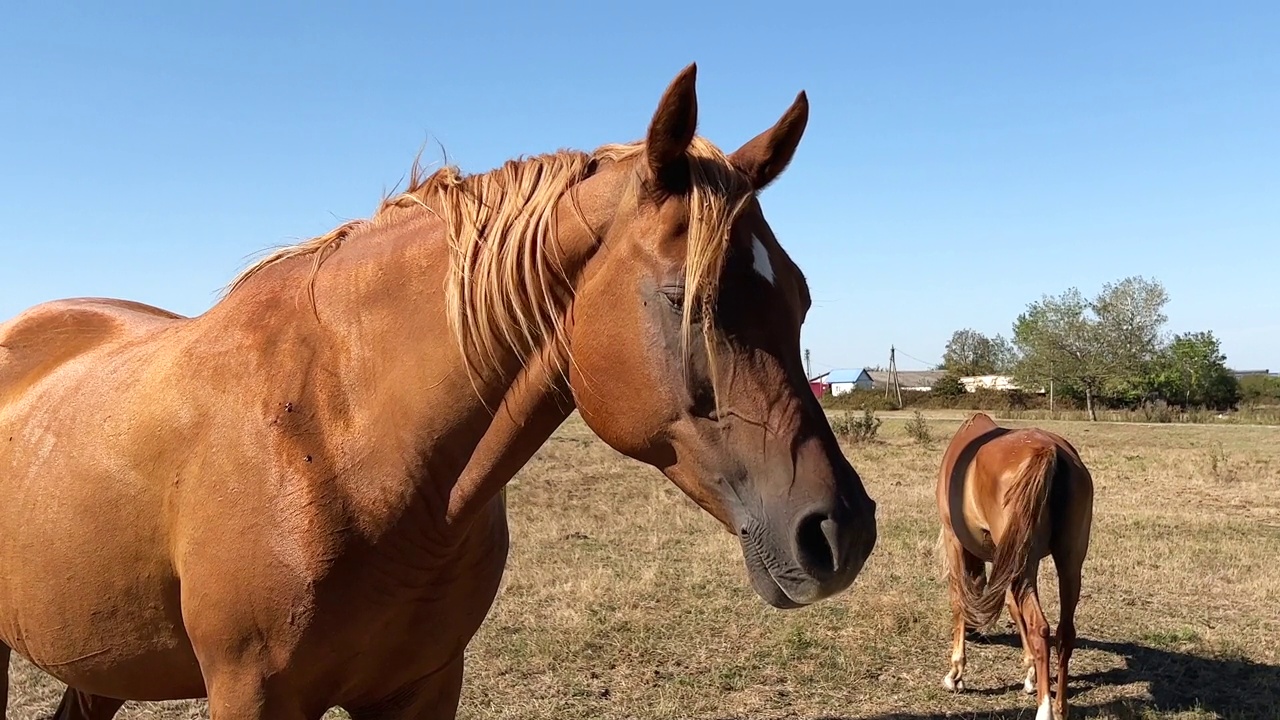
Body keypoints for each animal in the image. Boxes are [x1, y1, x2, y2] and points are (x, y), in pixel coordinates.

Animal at [0, 63, 875, 717]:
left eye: (798, 297)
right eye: (682, 298)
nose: (842, 530)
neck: (340, 445)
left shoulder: (423, 687)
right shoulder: (251, 696)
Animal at [936, 409, 1095, 717]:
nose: (975, 634)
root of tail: (1050, 450)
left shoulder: (953, 540)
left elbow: (958, 599)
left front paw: (955, 673)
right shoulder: (1010, 562)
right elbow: (1013, 607)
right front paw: (1031, 673)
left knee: (1040, 628)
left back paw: (1045, 709)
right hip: (1069, 563)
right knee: (1064, 631)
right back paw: (1060, 707)